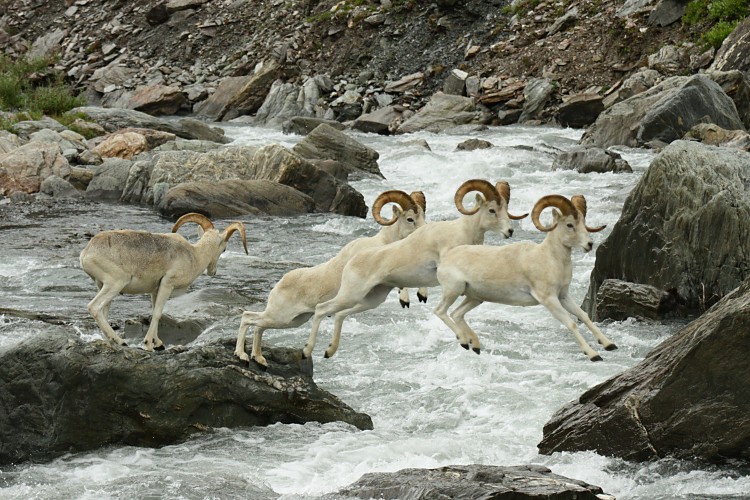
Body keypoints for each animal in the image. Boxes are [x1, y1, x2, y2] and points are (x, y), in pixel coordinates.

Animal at [80, 213, 248, 351]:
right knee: (94, 307)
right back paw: (121, 341)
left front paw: (158, 343)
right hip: (115, 284)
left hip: (102, 286)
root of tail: (86, 253)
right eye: (224, 249)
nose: (213, 272)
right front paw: (149, 344)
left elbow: (155, 312)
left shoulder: (155, 290)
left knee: (103, 312)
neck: (193, 256)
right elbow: (157, 314)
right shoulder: (167, 285)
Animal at [234, 190, 427, 368]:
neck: (383, 244)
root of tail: (279, 285)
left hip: (291, 320)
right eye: (410, 219)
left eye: (423, 217)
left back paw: (259, 359)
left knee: (259, 326)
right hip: (280, 317)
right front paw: (406, 300)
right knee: (248, 317)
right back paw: (242, 356)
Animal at [303, 179, 528, 360]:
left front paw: (474, 344)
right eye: (492, 210)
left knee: (340, 314)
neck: (462, 233)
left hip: (370, 299)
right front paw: (464, 341)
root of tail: (352, 260)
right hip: (351, 295)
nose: (509, 231)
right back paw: (307, 351)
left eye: (505, 209)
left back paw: (329, 351)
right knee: (321, 309)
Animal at [433, 194, 618, 361]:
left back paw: (475, 346)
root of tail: (446, 258)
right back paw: (464, 342)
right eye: (570, 225)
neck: (550, 259)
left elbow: (584, 316)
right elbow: (570, 323)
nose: (589, 244)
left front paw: (609, 345)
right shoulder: (549, 300)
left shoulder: (563, 297)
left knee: (457, 314)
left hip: (475, 298)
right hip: (453, 291)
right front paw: (593, 355)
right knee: (440, 311)